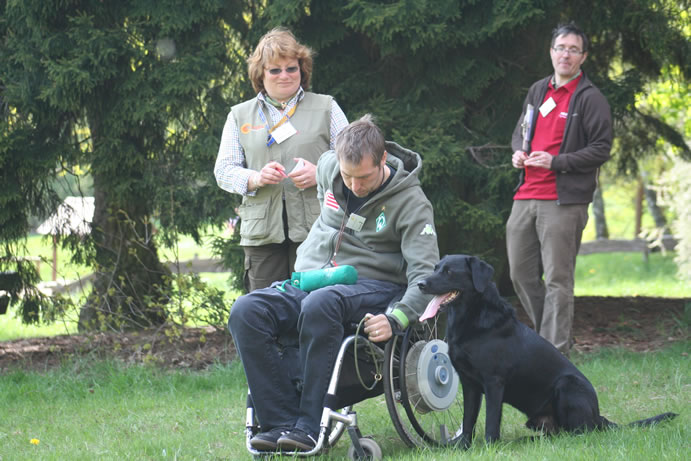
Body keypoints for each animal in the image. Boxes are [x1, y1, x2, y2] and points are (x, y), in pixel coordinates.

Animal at [417, 254, 677, 448]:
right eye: (436, 268)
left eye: (449, 272)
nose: (420, 284)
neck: (472, 320)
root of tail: (598, 416)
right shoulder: (469, 383)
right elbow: (468, 419)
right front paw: (464, 448)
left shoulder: (494, 382)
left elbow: (491, 420)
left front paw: (490, 447)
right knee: (556, 433)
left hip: (567, 384)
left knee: (581, 432)